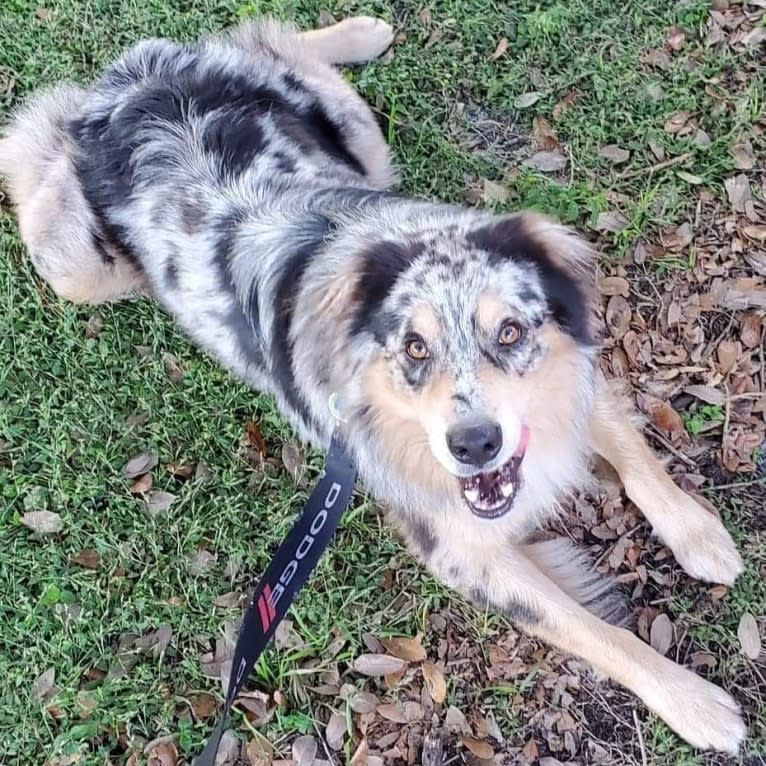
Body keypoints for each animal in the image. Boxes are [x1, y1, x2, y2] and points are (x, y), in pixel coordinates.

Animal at [0, 16, 752, 756]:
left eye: (510, 332)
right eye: (413, 348)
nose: (475, 445)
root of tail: (126, 85)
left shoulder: (569, 379)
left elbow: (636, 456)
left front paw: (700, 535)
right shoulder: (457, 548)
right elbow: (598, 632)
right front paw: (696, 705)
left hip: (360, 137)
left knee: (269, 35)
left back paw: (362, 29)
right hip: (79, 267)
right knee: (38, 137)